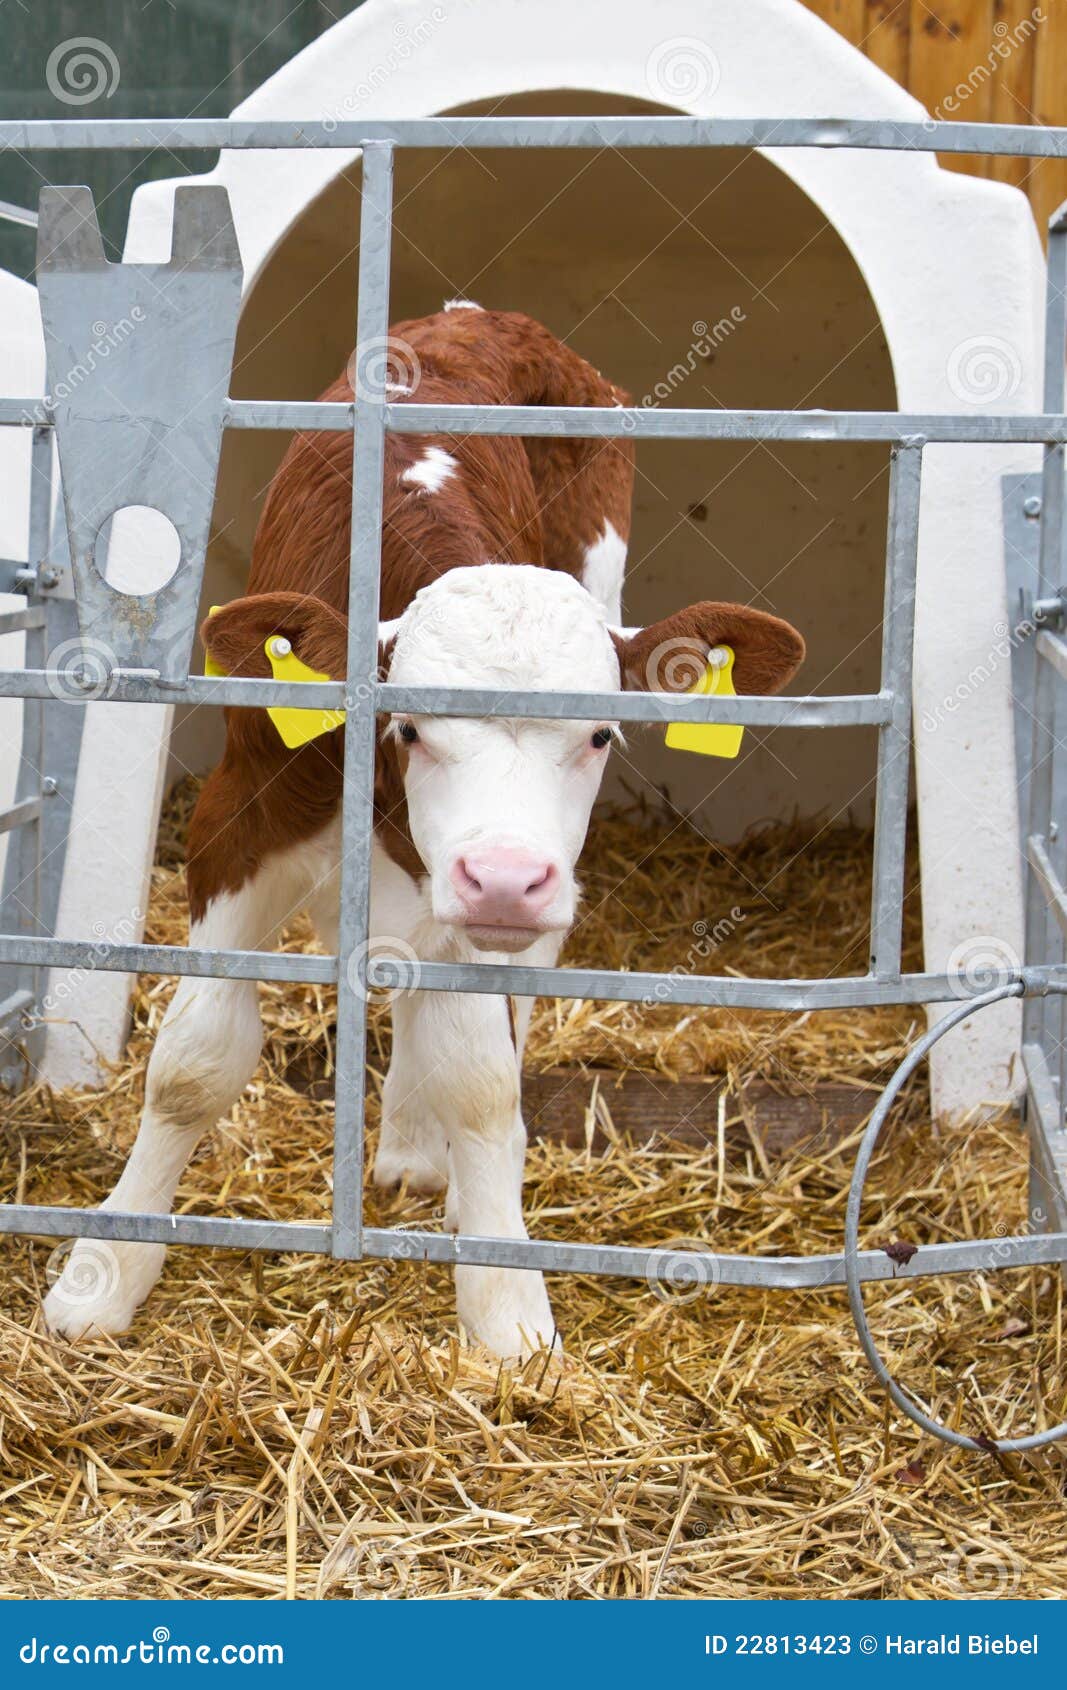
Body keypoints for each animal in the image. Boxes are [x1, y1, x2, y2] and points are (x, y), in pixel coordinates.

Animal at [43, 305, 805, 1360]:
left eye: (600, 733)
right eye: (409, 727)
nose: (505, 879)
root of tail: (485, 319)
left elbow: (482, 1083)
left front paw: (505, 1301)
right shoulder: (237, 815)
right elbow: (193, 1059)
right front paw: (105, 1272)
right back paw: (406, 1147)